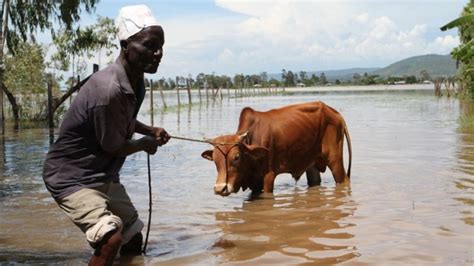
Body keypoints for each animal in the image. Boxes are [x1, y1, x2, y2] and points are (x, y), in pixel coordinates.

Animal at [201, 101, 352, 196]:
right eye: (215, 160)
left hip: (335, 161)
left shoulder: (268, 176)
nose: (220, 189)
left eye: (236, 157)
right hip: (312, 164)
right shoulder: (255, 183)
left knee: (343, 179)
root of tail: (335, 113)